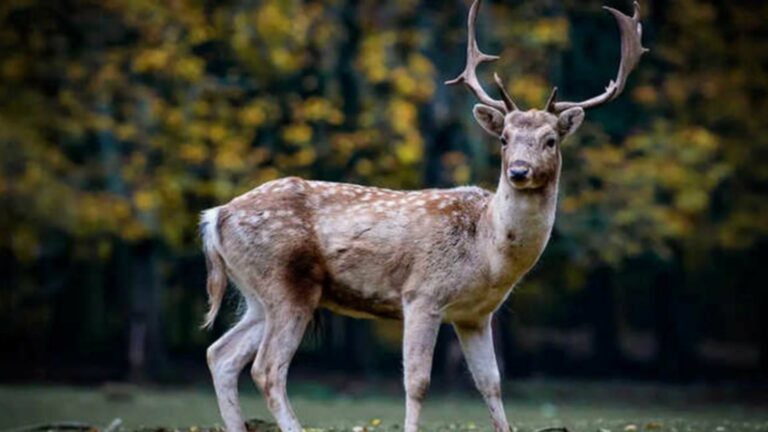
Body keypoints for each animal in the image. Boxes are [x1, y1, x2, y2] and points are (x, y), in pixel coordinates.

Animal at [200, 1, 647, 431]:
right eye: (504, 139)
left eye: (550, 140)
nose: (519, 171)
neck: (487, 252)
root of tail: (215, 215)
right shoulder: (421, 294)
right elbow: (417, 382)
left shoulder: (476, 315)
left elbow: (491, 383)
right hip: (286, 282)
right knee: (267, 368)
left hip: (257, 294)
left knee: (220, 353)